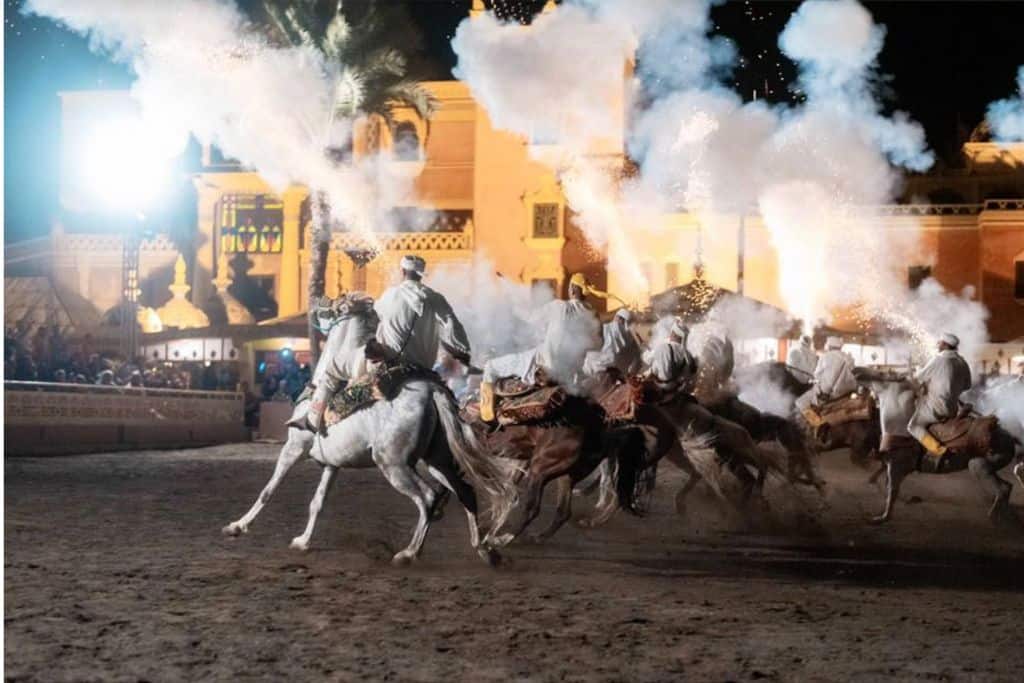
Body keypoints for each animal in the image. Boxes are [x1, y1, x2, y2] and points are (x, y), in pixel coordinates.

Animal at [220, 294, 516, 565]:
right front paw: (302, 542)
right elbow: (317, 502)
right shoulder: (332, 464)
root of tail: (432, 391)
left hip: (393, 464)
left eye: (334, 306)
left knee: (428, 497)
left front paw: (236, 526)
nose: (315, 302)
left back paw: (409, 553)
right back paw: (485, 550)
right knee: (464, 491)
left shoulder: (294, 447)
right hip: (436, 459)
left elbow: (268, 489)